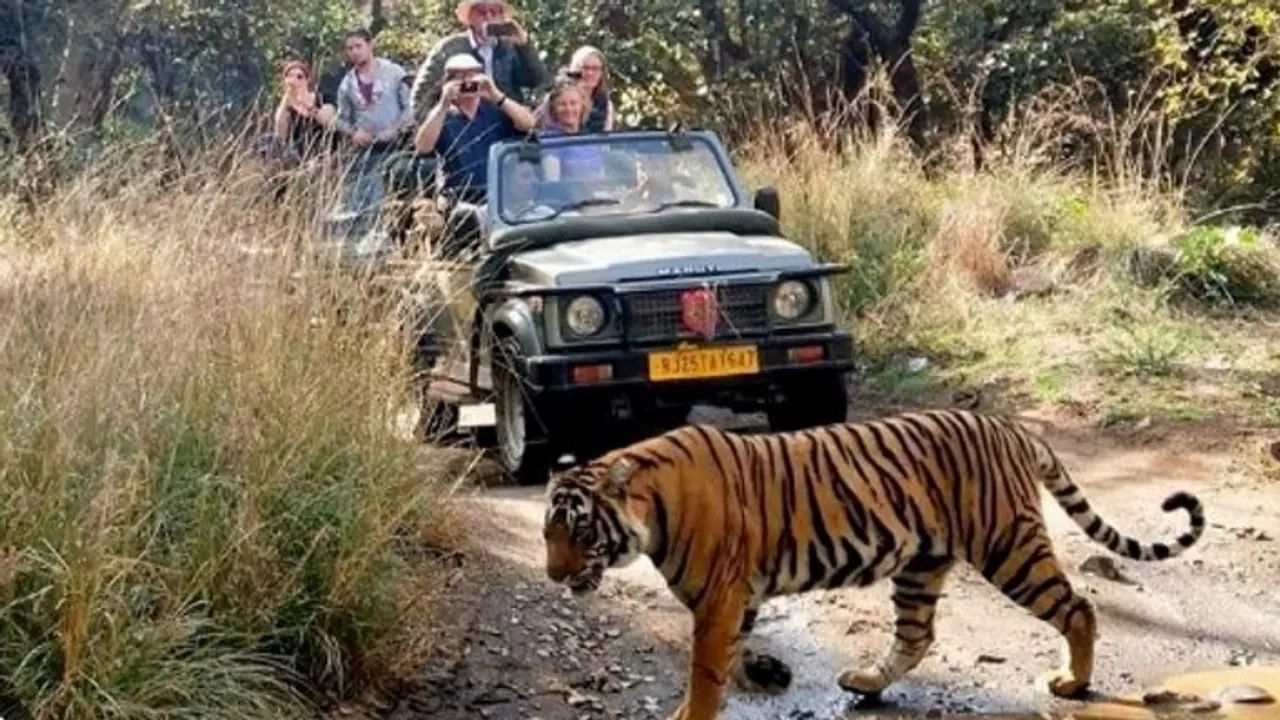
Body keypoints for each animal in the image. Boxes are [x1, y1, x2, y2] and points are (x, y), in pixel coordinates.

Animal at [541, 408, 1206, 720]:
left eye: (579, 529)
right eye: (547, 534)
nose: (552, 576)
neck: (650, 508)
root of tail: (1011, 428)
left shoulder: (719, 598)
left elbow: (705, 671)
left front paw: (694, 712)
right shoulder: (737, 598)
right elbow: (730, 657)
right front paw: (759, 677)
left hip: (1007, 547)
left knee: (1078, 606)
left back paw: (1074, 682)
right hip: (922, 564)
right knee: (916, 636)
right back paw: (864, 682)